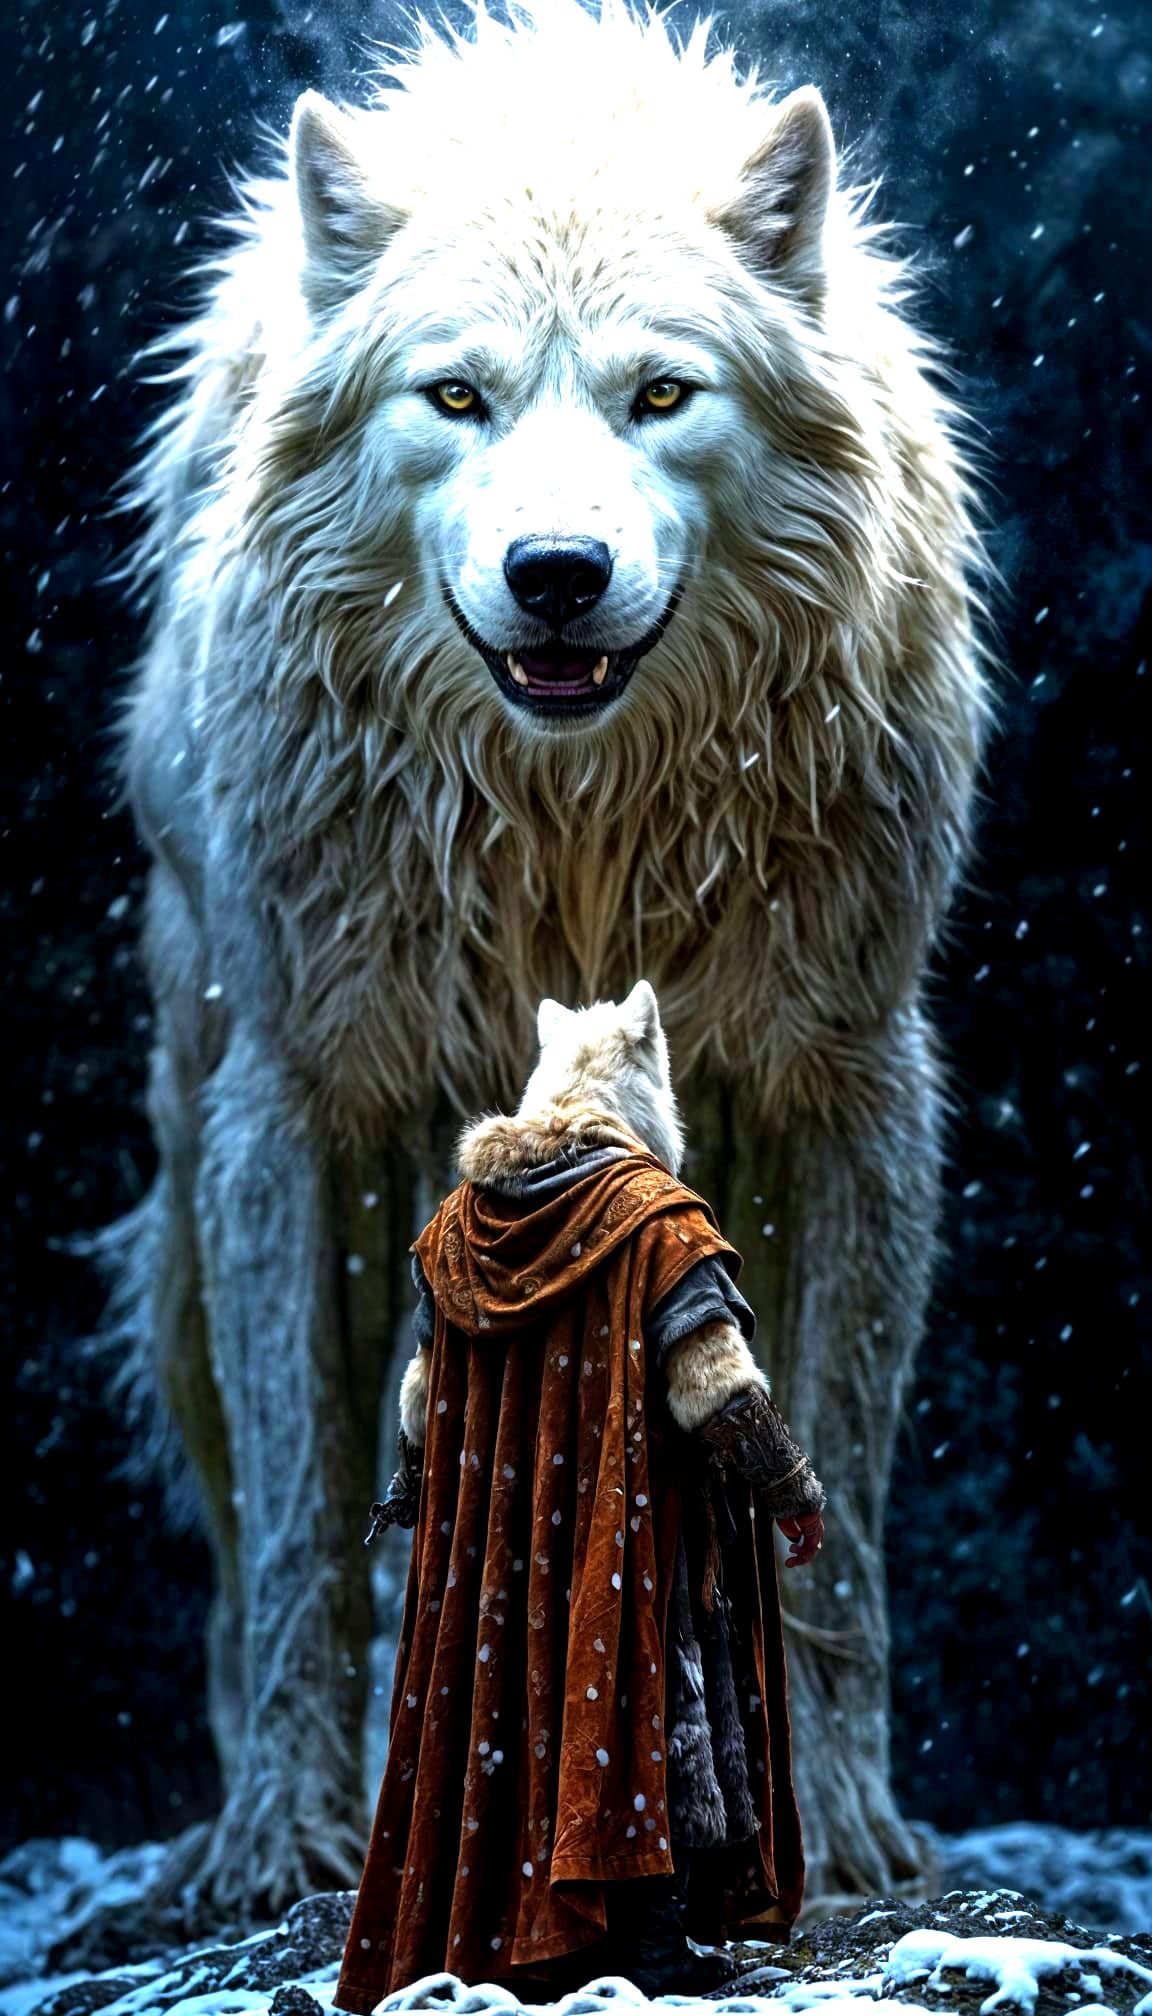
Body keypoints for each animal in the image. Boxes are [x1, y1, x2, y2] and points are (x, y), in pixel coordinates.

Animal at [102, 0, 986, 1933]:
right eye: (459, 397)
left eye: (663, 395)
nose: (558, 573)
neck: (576, 819)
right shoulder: (296, 1106)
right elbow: (307, 1519)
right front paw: (288, 1844)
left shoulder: (850, 1081)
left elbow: (837, 1528)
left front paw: (843, 1828)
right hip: (193, 1195)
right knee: (249, 1549)